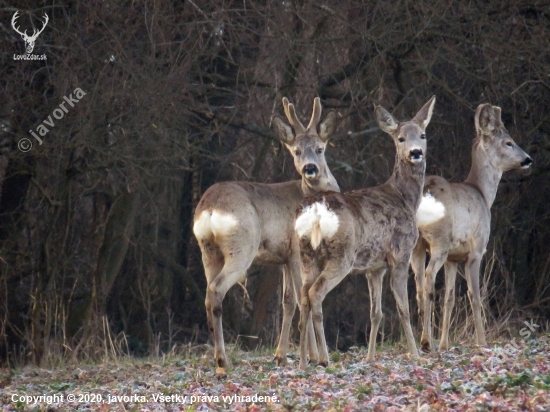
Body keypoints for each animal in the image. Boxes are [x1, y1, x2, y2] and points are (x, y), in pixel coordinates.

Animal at [194, 97, 340, 374]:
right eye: (296, 151)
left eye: (319, 149)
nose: (310, 168)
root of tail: (209, 208)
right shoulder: (296, 252)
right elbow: (301, 299)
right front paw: (313, 356)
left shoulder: (281, 258)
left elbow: (287, 302)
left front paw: (280, 356)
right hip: (242, 246)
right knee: (217, 290)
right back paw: (223, 360)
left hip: (208, 251)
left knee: (207, 293)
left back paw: (218, 357)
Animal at [296, 97, 438, 370]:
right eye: (400, 138)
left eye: (423, 134)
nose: (416, 152)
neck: (406, 199)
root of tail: (317, 209)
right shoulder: (400, 254)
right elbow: (404, 308)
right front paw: (415, 354)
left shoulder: (374, 268)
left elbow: (376, 312)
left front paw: (371, 358)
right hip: (341, 256)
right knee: (315, 293)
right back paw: (324, 359)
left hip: (307, 256)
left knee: (303, 295)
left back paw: (301, 361)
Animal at [414, 103, 536, 350]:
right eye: (508, 142)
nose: (528, 159)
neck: (482, 194)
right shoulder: (477, 250)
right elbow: (476, 296)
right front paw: (482, 341)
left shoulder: (453, 258)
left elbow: (450, 298)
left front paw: (445, 344)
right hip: (439, 241)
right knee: (428, 278)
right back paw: (426, 341)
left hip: (415, 244)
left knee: (417, 284)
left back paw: (424, 340)